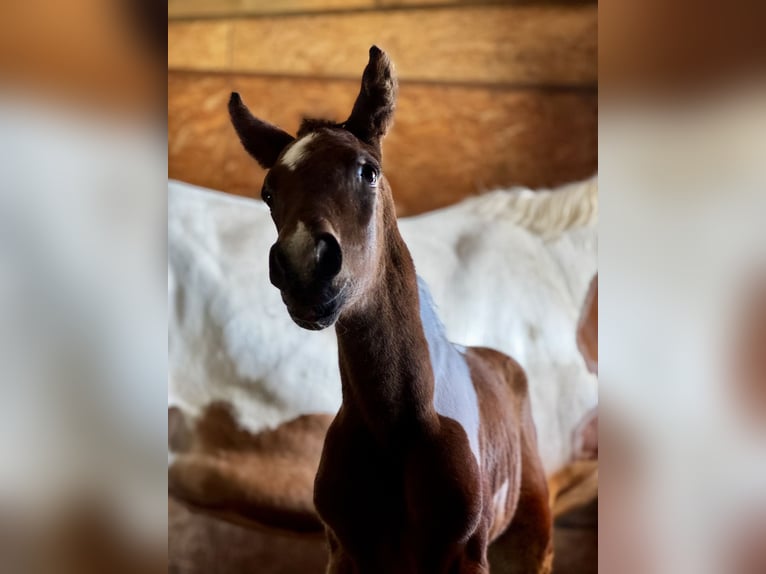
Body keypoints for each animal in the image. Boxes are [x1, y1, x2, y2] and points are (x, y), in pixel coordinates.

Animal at [227, 45, 553, 573]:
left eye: (369, 171)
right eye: (268, 192)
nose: (303, 267)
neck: (396, 429)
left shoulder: (465, 557)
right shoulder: (346, 553)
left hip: (529, 540)